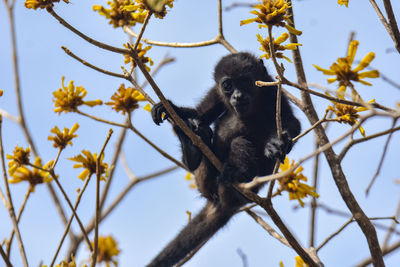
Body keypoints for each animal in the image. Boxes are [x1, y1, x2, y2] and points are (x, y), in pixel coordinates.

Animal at [149, 52, 300, 267]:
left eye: (245, 81)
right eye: (228, 85)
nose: (237, 96)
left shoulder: (272, 90)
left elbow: (291, 122)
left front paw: (278, 142)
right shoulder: (216, 92)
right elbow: (200, 113)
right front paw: (174, 109)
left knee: (239, 142)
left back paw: (237, 175)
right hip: (204, 180)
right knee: (203, 133)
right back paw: (191, 147)